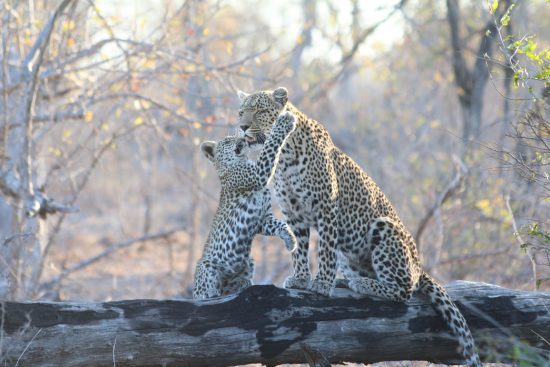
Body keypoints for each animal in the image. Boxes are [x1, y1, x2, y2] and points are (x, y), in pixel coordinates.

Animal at [193, 110, 298, 300]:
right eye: (228, 141)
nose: (242, 138)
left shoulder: (263, 219)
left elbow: (281, 224)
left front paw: (290, 240)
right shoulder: (257, 173)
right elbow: (270, 146)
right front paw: (284, 122)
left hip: (249, 263)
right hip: (207, 267)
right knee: (205, 292)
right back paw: (210, 295)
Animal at [237, 87, 484, 366]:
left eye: (259, 110)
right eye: (241, 111)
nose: (242, 126)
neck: (285, 154)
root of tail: (419, 267)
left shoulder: (326, 207)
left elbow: (325, 251)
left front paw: (322, 284)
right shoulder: (294, 213)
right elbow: (298, 249)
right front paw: (300, 278)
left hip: (385, 228)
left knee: (404, 290)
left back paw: (360, 284)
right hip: (350, 255)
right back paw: (349, 280)